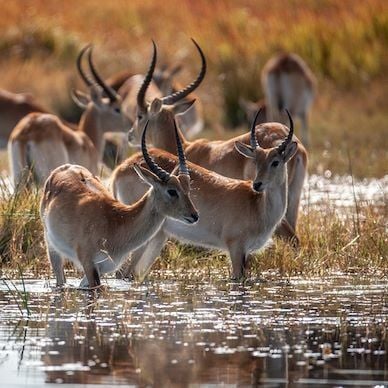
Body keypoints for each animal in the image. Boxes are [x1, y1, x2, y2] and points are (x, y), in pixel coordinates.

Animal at [41, 119, 199, 290]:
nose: (194, 215)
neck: (116, 222)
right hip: (52, 247)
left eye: (188, 188)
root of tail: (64, 168)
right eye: (172, 191)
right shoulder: (89, 264)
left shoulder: (101, 268)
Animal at [111, 110, 298, 280]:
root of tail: (121, 168)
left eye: (275, 162)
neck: (258, 206)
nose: (257, 184)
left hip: (157, 238)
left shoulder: (247, 253)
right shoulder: (236, 249)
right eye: (256, 162)